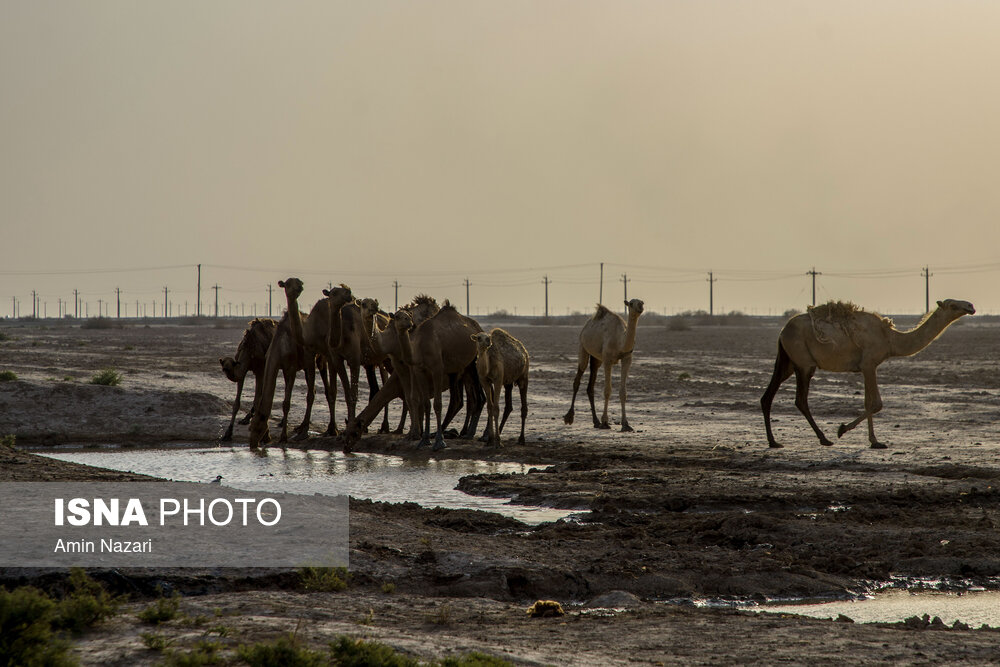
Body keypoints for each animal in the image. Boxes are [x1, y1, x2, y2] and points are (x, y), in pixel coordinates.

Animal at [568, 298, 644, 434]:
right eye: (631, 303)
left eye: (642, 302)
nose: (640, 306)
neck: (620, 342)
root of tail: (587, 324)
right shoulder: (608, 360)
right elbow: (607, 390)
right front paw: (605, 422)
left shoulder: (627, 358)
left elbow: (623, 392)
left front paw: (626, 424)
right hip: (583, 346)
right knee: (577, 379)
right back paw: (569, 417)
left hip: (597, 359)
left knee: (590, 386)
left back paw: (595, 421)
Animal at [760, 298, 972, 448]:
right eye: (953, 305)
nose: (970, 306)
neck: (890, 339)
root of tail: (782, 331)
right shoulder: (869, 363)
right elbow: (876, 403)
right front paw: (843, 430)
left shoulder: (866, 367)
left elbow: (868, 402)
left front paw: (873, 440)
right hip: (804, 363)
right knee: (800, 400)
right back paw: (824, 439)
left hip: (787, 361)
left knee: (768, 396)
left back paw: (774, 442)